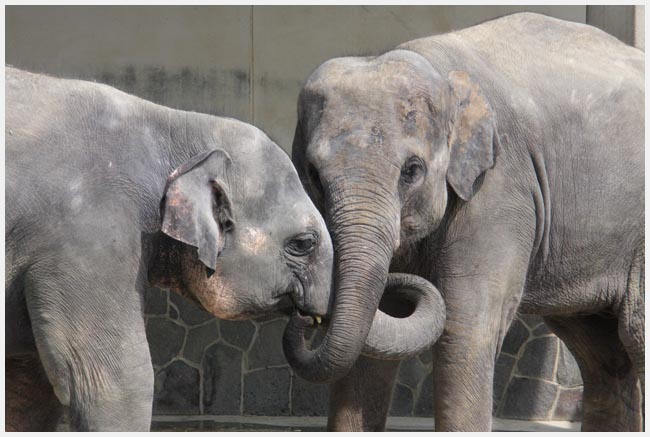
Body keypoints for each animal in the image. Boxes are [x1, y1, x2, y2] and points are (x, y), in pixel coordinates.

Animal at [3, 66, 340, 430]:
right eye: (304, 243)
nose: (306, 317)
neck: (177, 124)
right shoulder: (89, 239)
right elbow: (113, 381)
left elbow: (29, 389)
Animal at [284, 13, 644, 432]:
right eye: (313, 174)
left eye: (412, 170)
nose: (306, 318)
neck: (442, 74)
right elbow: (370, 347)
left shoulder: (501, 187)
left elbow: (466, 328)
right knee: (601, 352)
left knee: (632, 333)